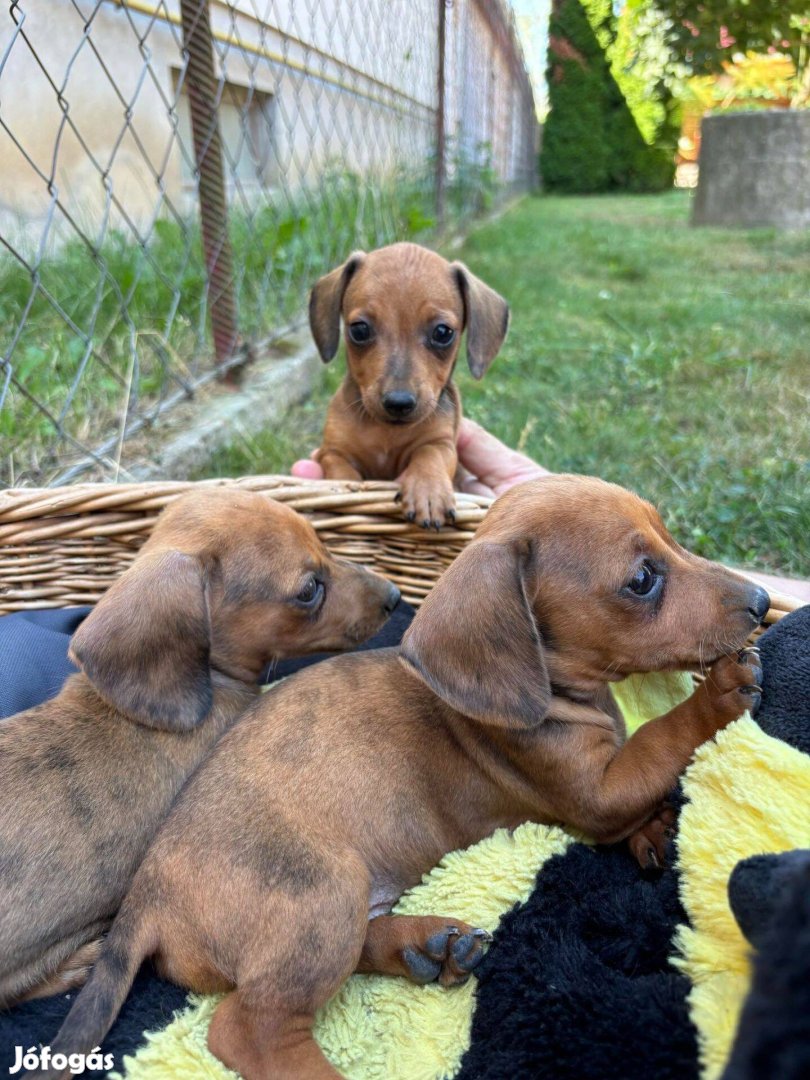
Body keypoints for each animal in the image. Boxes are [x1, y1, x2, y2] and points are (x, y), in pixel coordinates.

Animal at [308, 246, 507, 531]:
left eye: (443, 332)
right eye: (359, 329)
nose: (399, 403)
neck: (386, 433)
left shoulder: (443, 443)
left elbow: (429, 452)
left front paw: (428, 491)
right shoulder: (332, 451)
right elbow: (341, 472)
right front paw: (343, 493)